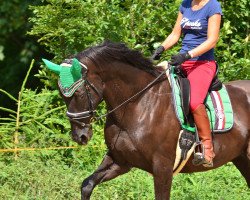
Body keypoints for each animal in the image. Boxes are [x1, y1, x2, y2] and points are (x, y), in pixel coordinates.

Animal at [43, 41, 250, 199]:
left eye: (78, 93)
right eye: (62, 94)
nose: (80, 136)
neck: (138, 103)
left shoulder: (162, 168)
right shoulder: (120, 161)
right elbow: (87, 184)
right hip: (242, 159)